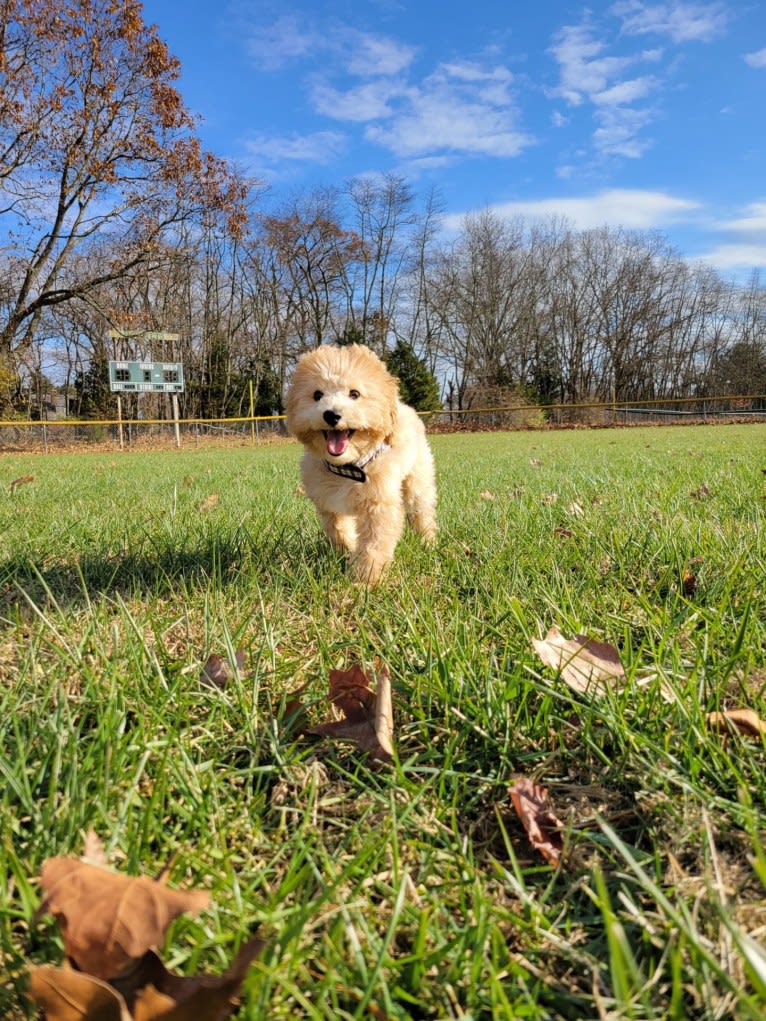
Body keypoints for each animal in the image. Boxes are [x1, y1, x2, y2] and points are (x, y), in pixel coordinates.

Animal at [285, 343, 437, 584]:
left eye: (354, 393)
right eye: (317, 395)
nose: (331, 415)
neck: (347, 467)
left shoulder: (378, 503)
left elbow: (374, 542)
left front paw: (364, 578)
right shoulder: (328, 502)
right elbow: (338, 530)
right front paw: (346, 551)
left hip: (418, 479)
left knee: (422, 512)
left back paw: (428, 542)